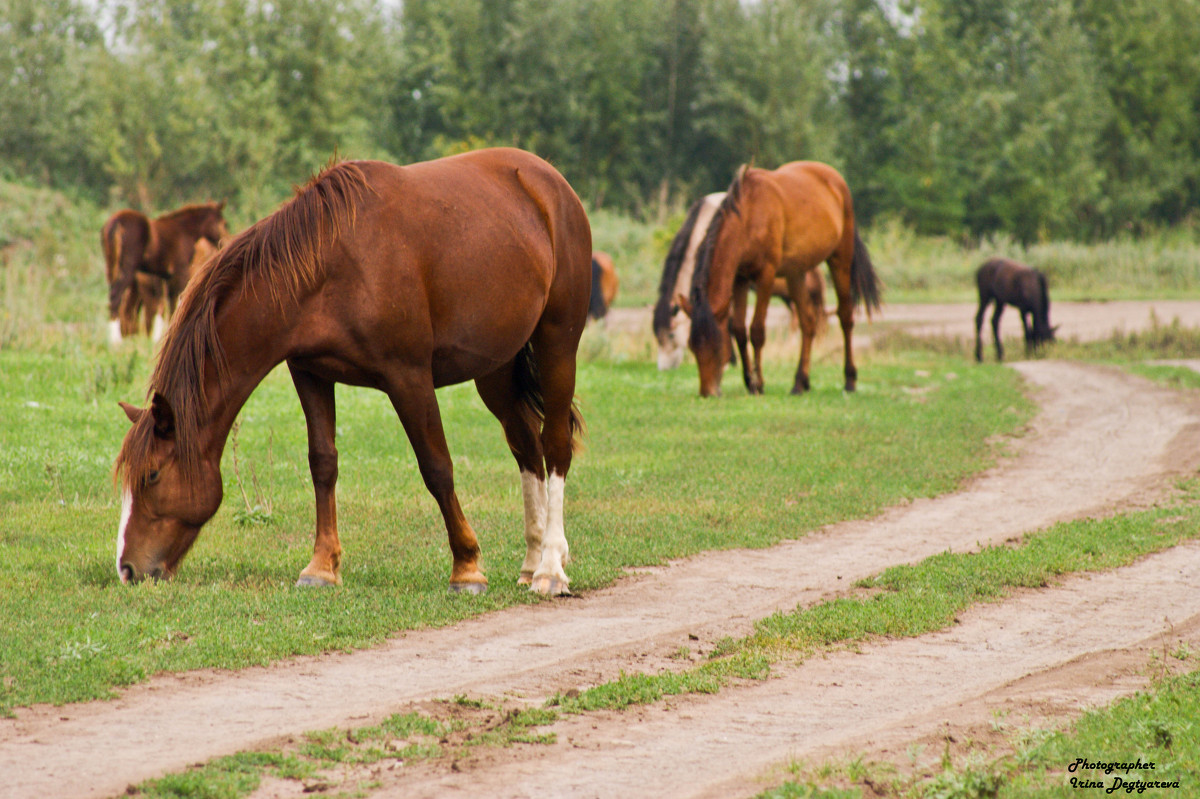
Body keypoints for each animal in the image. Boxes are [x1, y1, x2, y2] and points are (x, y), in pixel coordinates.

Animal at [102, 202, 228, 343]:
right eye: (225, 223)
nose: (225, 242)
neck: (183, 229)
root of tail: (116, 222)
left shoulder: (163, 276)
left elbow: (166, 305)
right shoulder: (180, 270)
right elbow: (178, 300)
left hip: (113, 269)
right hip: (126, 269)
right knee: (116, 299)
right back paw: (116, 340)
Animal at [686, 160, 883, 395]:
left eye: (717, 346)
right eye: (692, 346)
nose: (707, 392)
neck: (749, 215)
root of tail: (835, 178)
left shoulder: (766, 276)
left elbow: (757, 331)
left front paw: (758, 384)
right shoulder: (740, 279)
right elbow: (740, 330)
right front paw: (749, 381)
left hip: (840, 260)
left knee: (845, 317)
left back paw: (850, 380)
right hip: (795, 273)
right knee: (808, 323)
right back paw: (800, 382)